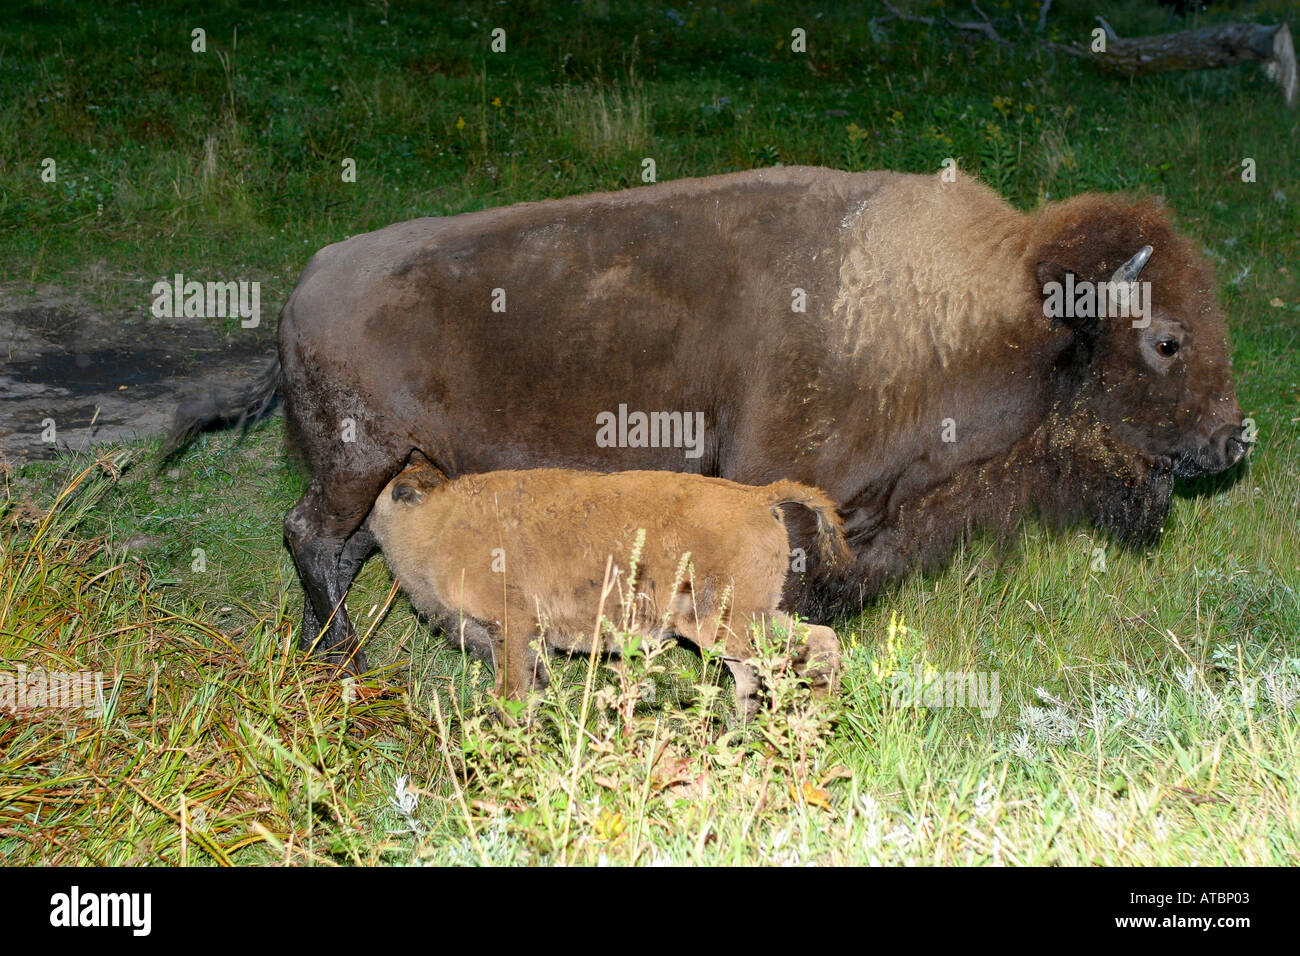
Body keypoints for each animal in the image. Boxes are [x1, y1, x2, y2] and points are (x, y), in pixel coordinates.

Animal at [170, 166, 1247, 670]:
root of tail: (307, 280)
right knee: (313, 536)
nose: (1237, 439)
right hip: (358, 458)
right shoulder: (779, 491)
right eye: (1165, 341)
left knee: (358, 549)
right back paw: (352, 664)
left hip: (396, 467)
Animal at [366, 454, 848, 715]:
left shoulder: (511, 631)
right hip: (748, 618)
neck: (440, 522)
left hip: (725, 622)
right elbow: (536, 690)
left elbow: (512, 697)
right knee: (766, 667)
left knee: (808, 648)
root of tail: (756, 496)